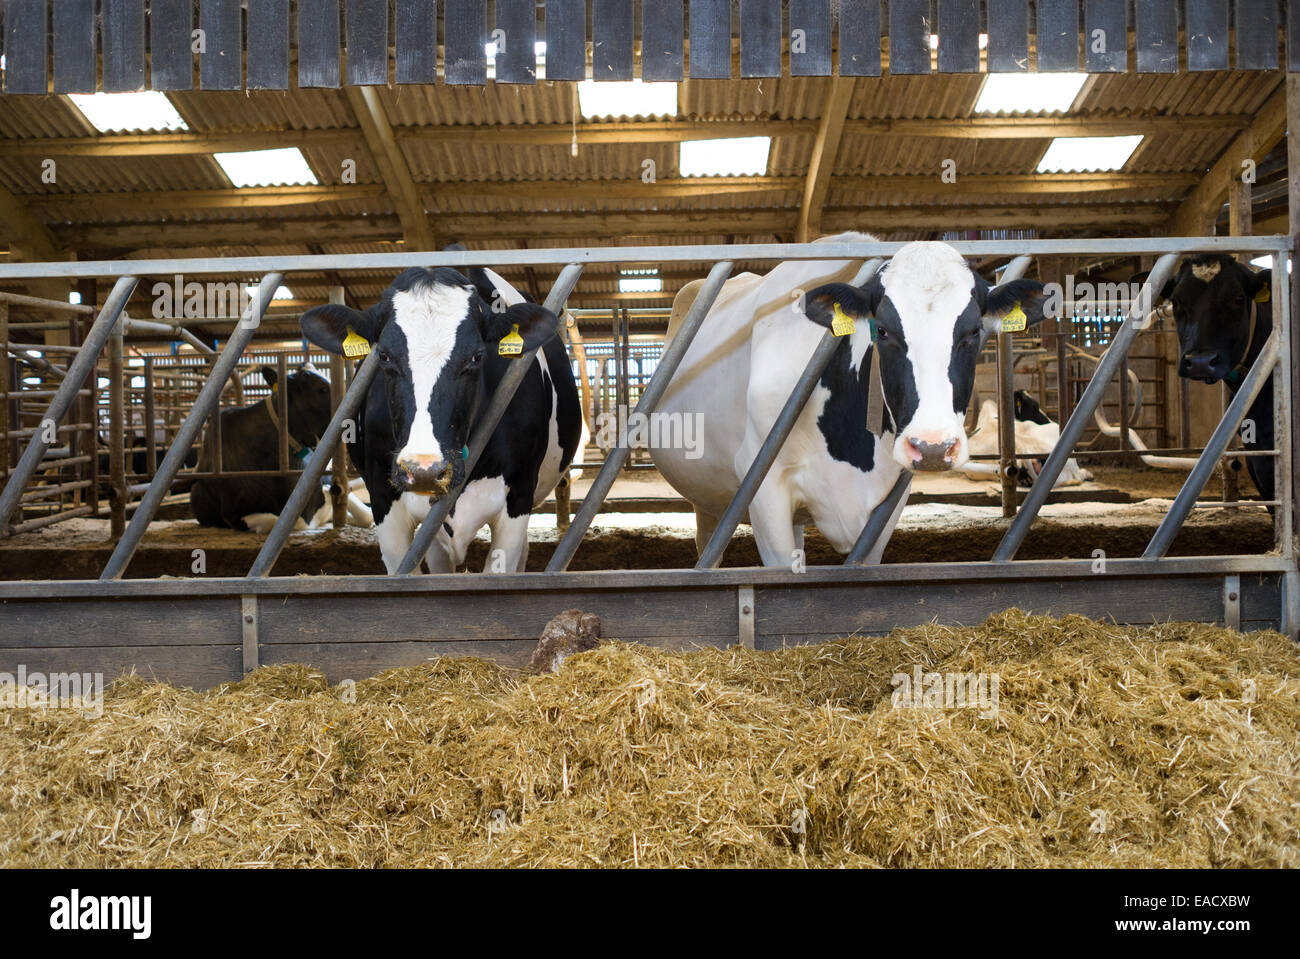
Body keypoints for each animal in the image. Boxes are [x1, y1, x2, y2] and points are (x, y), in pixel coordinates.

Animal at [650, 232, 1045, 563]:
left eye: (974, 331)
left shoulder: (888, 500)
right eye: (882, 331)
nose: (933, 446)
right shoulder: (763, 489)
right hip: (708, 494)